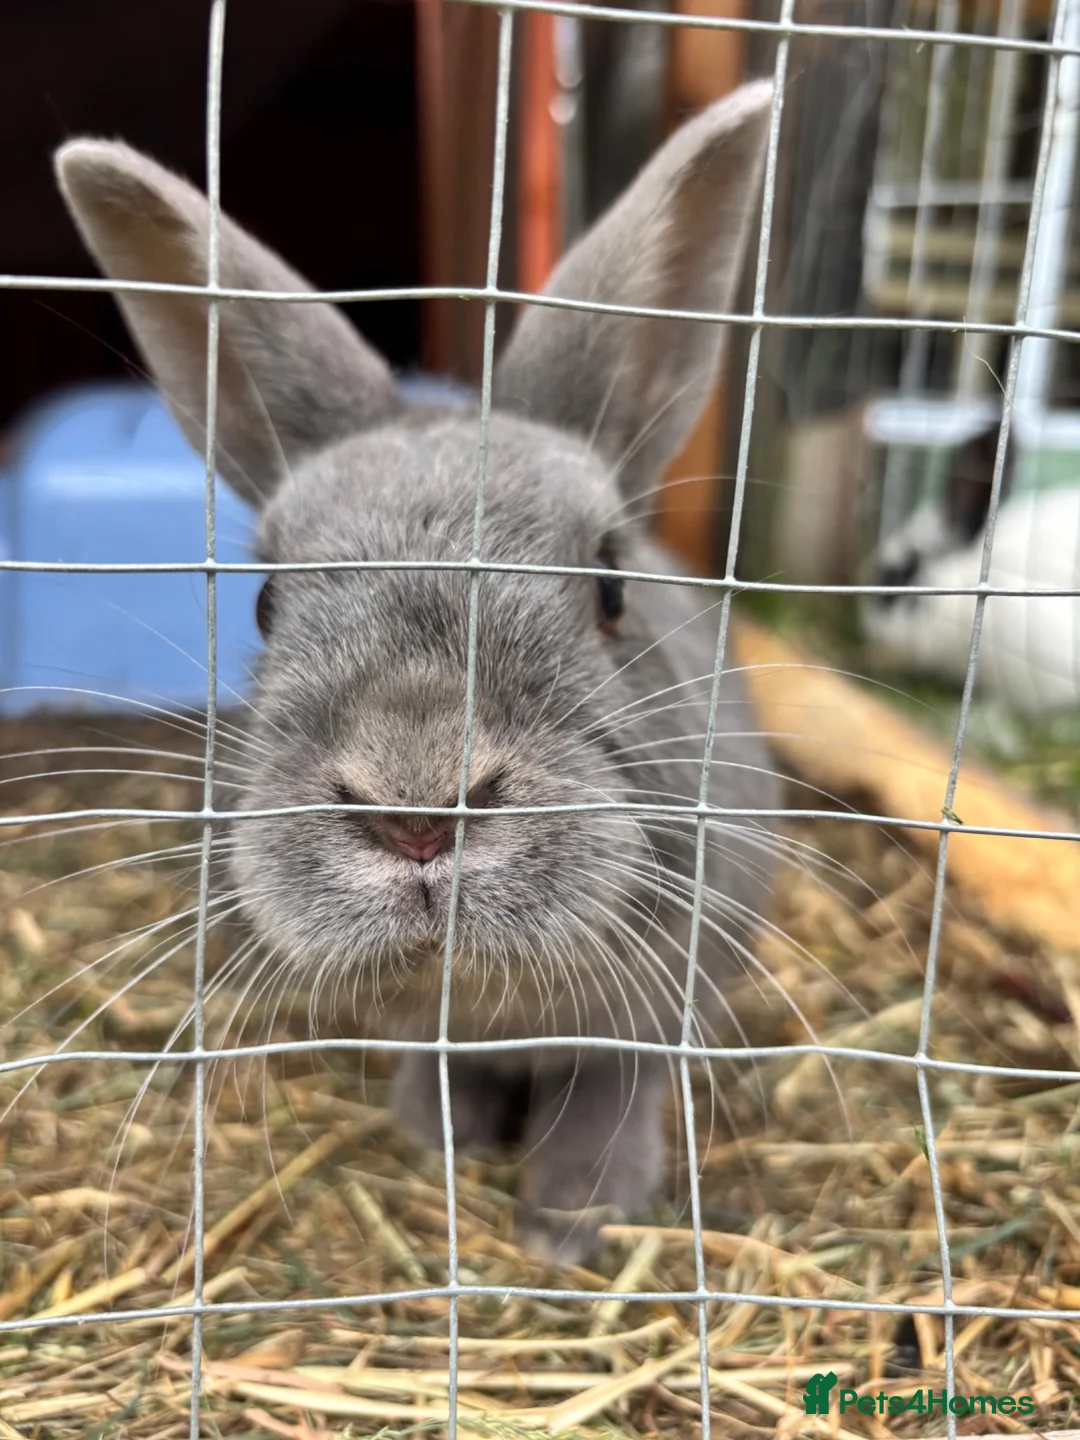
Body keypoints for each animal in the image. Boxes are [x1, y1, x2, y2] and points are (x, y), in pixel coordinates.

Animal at [53, 78, 776, 1264]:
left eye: (610, 585)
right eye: (265, 601)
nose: (418, 813)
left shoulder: (652, 1009)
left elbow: (610, 1088)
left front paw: (574, 1219)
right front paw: (437, 1138)